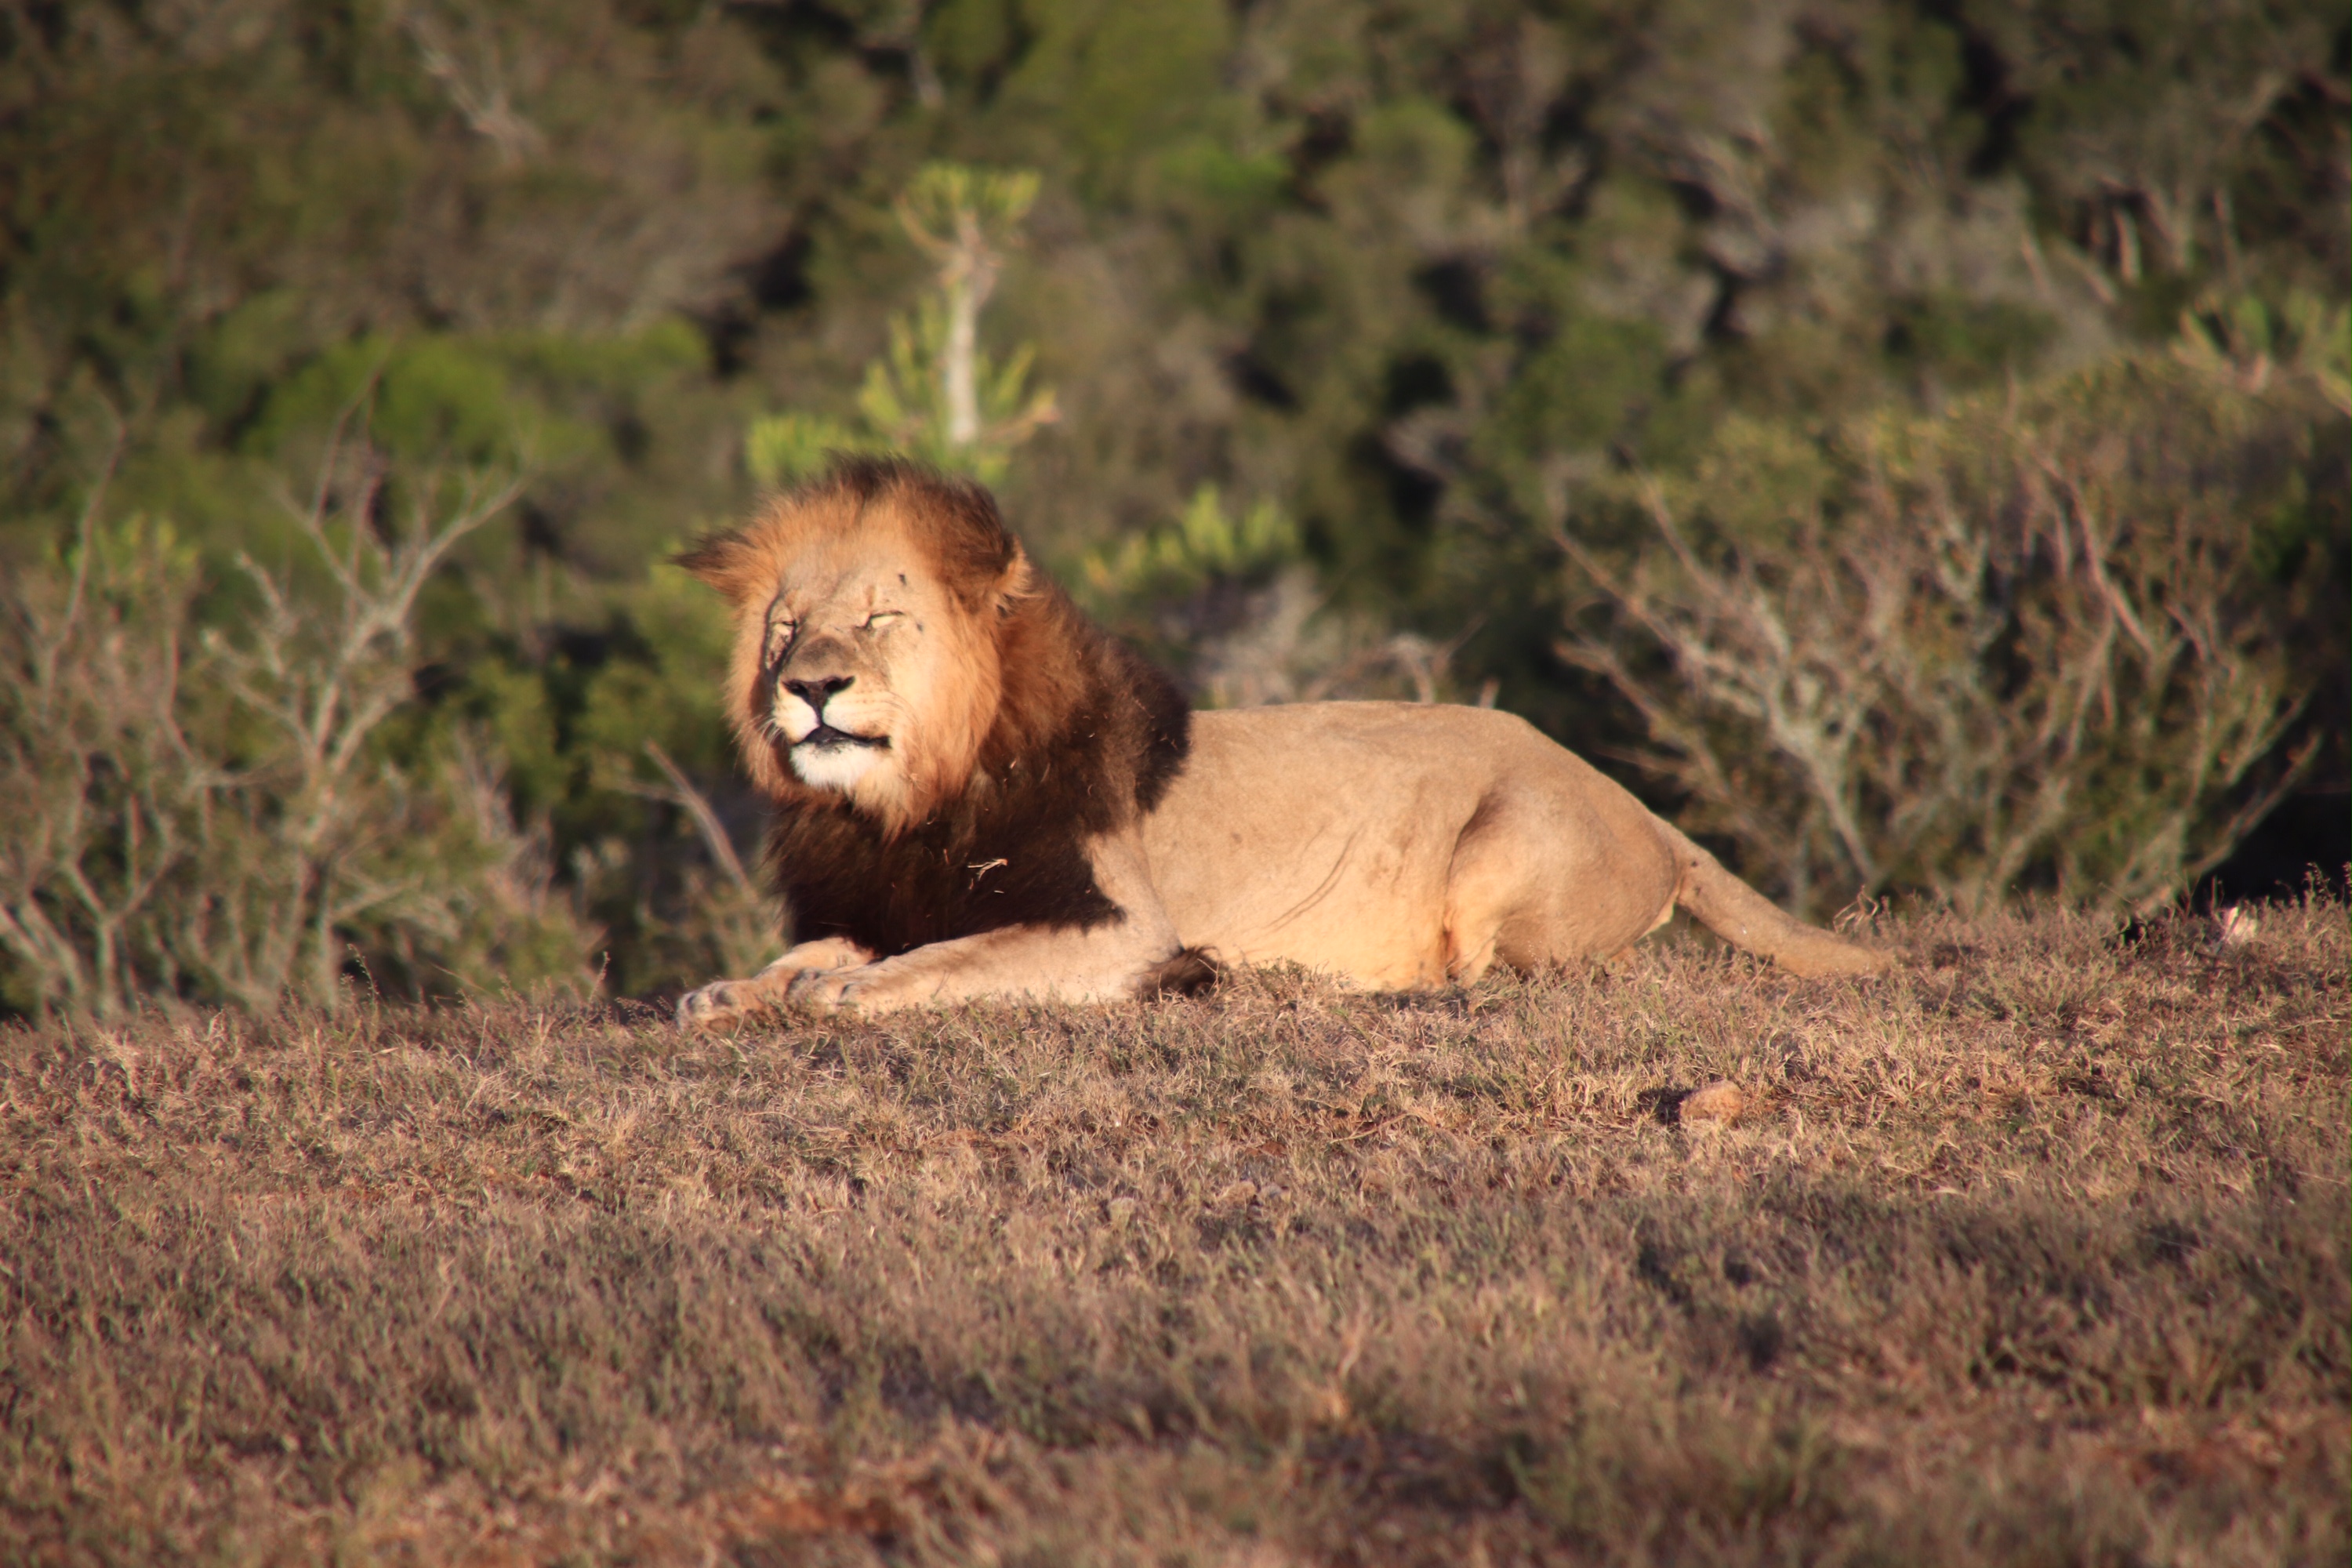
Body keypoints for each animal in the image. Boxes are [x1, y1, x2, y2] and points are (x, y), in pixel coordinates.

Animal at [673, 453, 1882, 1025]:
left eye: (880, 616)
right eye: (785, 628)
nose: (809, 685)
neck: (903, 806)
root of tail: (1656, 821)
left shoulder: (1120, 926)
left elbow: (953, 959)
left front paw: (844, 997)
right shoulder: (884, 901)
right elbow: (818, 952)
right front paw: (730, 991)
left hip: (1505, 842)